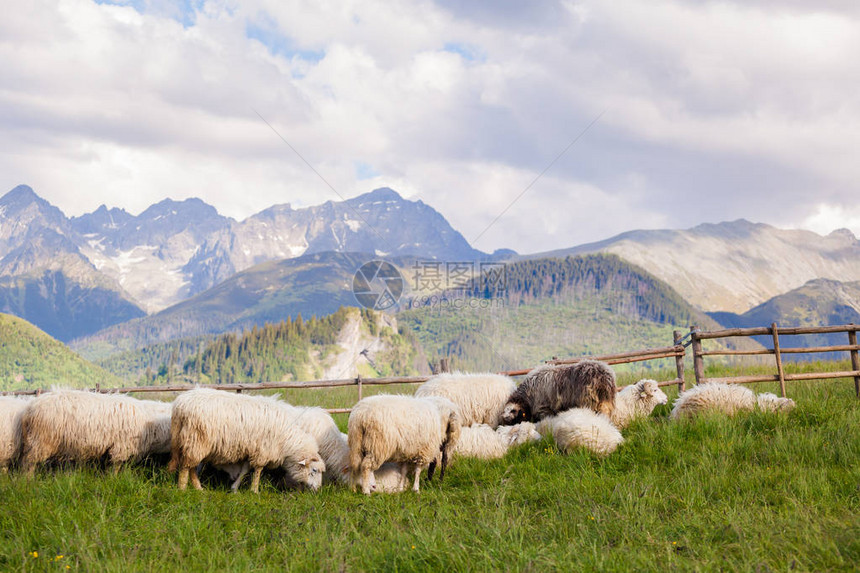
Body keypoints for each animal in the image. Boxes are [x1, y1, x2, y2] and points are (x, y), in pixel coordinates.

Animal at [19, 388, 172, 474]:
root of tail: (29, 408)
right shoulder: (120, 448)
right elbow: (115, 468)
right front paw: (113, 480)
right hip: (40, 441)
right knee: (28, 463)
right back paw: (27, 482)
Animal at [170, 386, 324, 494]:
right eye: (314, 470)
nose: (317, 490)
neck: (287, 441)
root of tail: (180, 404)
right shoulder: (263, 450)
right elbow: (258, 470)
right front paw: (254, 490)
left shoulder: (252, 449)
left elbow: (245, 470)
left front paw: (234, 488)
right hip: (196, 439)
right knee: (186, 466)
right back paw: (182, 488)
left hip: (194, 442)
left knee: (191, 466)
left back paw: (198, 488)